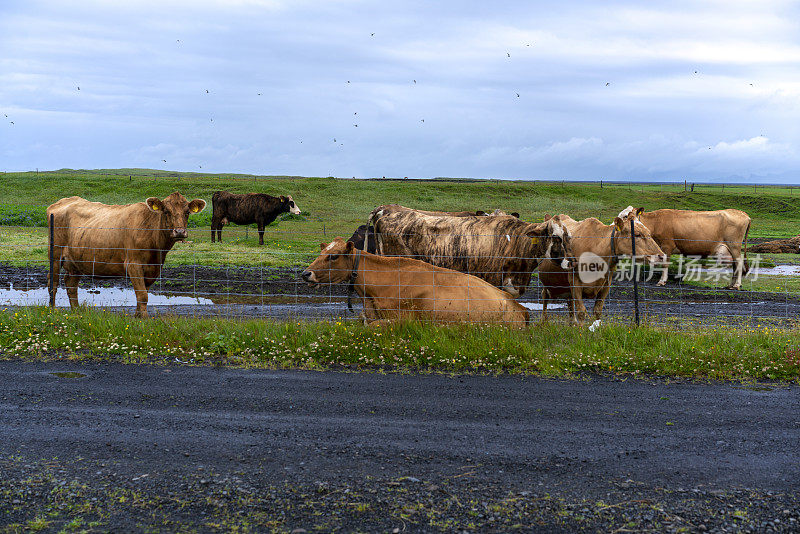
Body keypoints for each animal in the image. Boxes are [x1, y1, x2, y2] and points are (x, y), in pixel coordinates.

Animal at [47, 193, 206, 318]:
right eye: (166, 211)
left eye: (187, 212)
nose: (179, 232)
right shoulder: (133, 264)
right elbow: (142, 295)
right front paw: (144, 319)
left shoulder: (153, 269)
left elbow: (143, 294)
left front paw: (137, 316)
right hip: (55, 256)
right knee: (53, 284)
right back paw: (52, 311)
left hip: (77, 261)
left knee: (71, 285)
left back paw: (76, 311)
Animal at [620, 207, 752, 292]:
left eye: (626, 216)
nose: (616, 226)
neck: (656, 222)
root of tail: (743, 214)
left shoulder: (667, 246)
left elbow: (665, 263)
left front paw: (662, 281)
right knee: (735, 265)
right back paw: (731, 285)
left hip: (734, 246)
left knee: (739, 264)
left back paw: (737, 285)